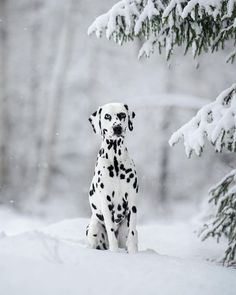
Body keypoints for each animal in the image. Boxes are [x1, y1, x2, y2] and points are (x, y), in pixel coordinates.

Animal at [86, 103, 138, 253]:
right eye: (107, 116)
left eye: (122, 115)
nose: (117, 128)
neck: (115, 160)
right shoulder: (106, 202)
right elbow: (110, 232)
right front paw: (114, 253)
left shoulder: (132, 203)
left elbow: (132, 233)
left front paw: (134, 254)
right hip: (93, 227)